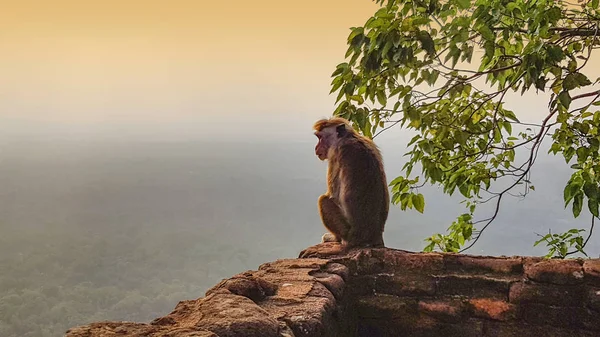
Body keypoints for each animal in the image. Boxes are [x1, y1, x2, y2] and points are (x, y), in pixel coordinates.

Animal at [314, 116, 390, 247]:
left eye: (320, 138)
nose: (316, 148)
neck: (348, 137)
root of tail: (374, 237)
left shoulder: (335, 153)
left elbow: (332, 195)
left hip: (348, 233)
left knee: (323, 200)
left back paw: (337, 238)